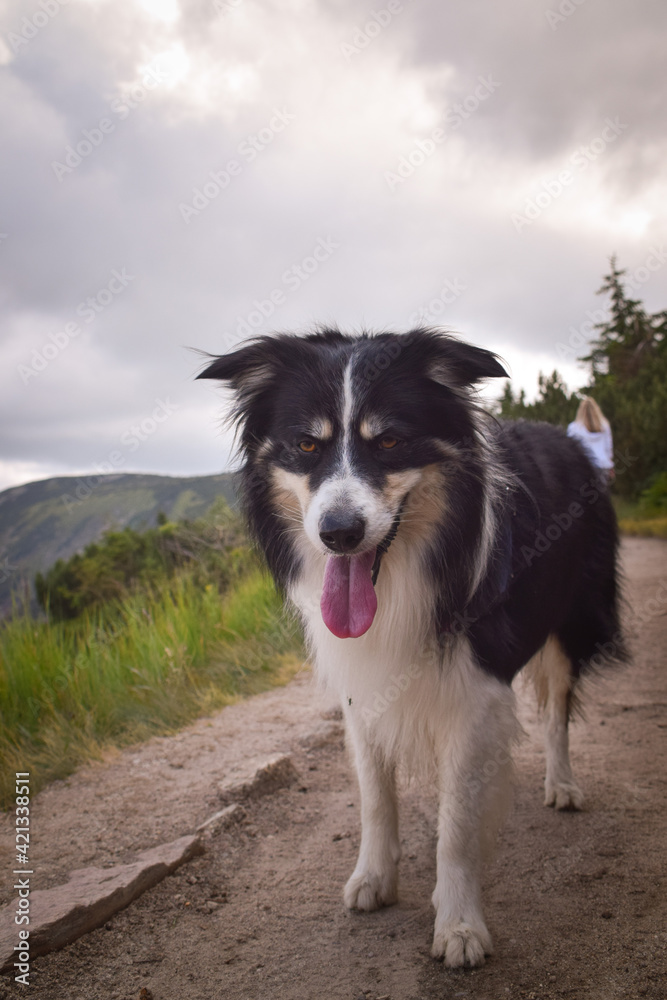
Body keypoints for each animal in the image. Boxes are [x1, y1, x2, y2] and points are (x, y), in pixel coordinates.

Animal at [198, 328, 628, 968]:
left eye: (390, 441)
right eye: (306, 444)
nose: (338, 534)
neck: (406, 570)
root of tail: (571, 441)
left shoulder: (476, 691)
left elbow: (458, 825)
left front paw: (460, 926)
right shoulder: (363, 683)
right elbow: (375, 794)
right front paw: (374, 879)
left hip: (570, 621)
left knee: (556, 710)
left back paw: (563, 785)